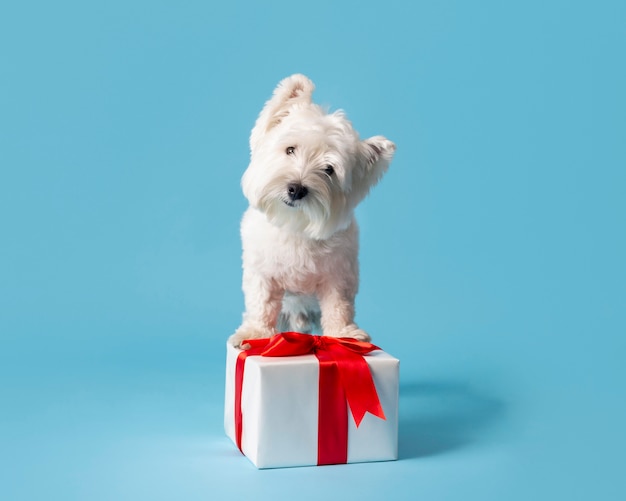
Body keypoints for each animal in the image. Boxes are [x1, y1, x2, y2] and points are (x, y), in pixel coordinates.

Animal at [230, 75, 390, 348]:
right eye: (290, 150)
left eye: (329, 169)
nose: (296, 189)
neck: (296, 225)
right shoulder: (263, 272)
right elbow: (262, 303)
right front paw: (255, 333)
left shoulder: (338, 276)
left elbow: (339, 306)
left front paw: (343, 334)